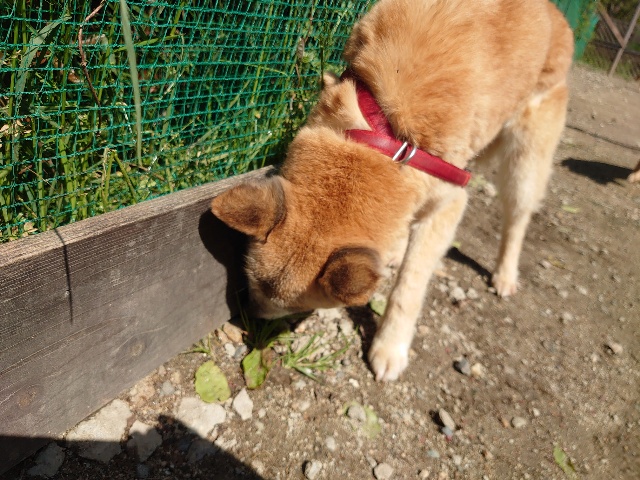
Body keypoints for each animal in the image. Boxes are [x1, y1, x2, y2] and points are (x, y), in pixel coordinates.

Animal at [211, 0, 574, 381]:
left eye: (291, 307)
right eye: (250, 283)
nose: (251, 318)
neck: (387, 135)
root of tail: (554, 14)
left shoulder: (450, 200)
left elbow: (408, 289)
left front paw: (390, 346)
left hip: (525, 163)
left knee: (517, 217)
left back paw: (505, 274)